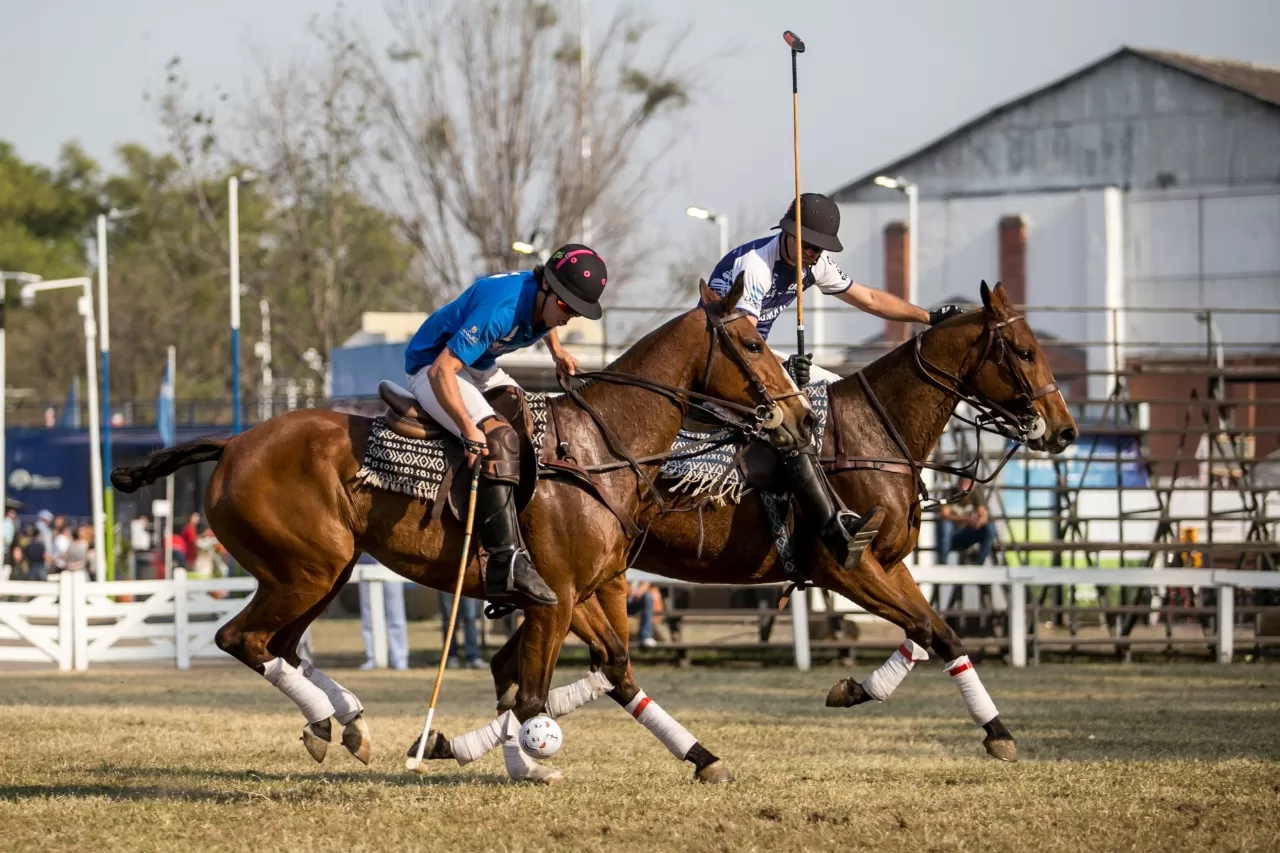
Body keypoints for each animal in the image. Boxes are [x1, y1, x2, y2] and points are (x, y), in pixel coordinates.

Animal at [110, 277, 808, 763]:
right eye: (753, 344)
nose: (799, 418)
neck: (600, 448)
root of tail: (232, 443)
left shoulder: (583, 591)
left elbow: (612, 667)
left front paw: (702, 756)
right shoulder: (554, 598)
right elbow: (532, 697)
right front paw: (522, 759)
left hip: (324, 572)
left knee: (278, 646)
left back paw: (343, 721)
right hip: (306, 569)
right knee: (243, 640)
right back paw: (340, 719)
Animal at [432, 279, 1080, 778]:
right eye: (1023, 351)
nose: (1065, 430)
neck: (878, 434)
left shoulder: (890, 562)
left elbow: (937, 633)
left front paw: (983, 726)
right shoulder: (845, 565)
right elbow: (926, 627)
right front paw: (985, 730)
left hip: (581, 581)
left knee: (527, 666)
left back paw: (468, 745)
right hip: (573, 580)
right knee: (536, 667)